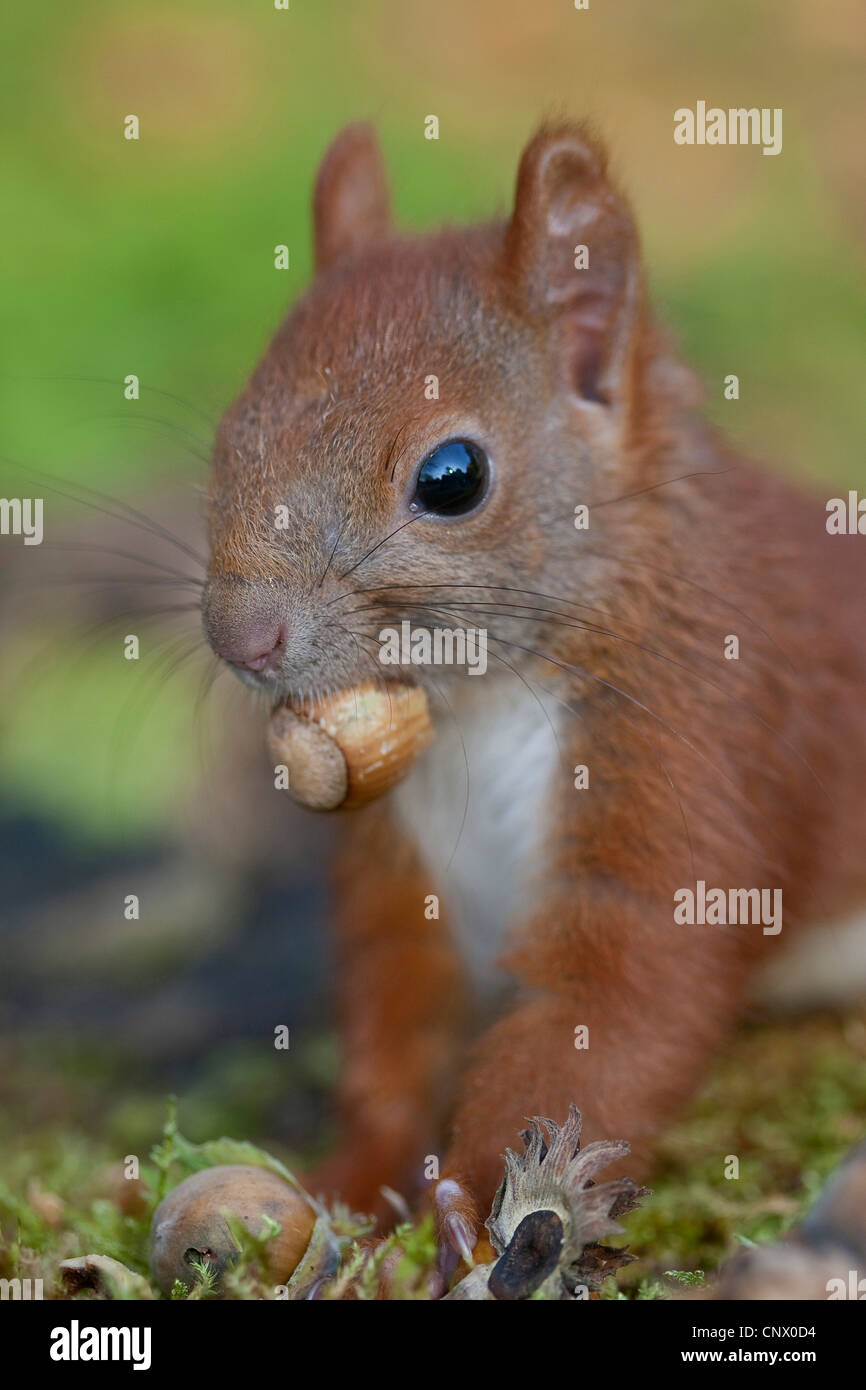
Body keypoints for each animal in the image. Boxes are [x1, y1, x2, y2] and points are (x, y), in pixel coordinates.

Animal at [201, 125, 866, 1245]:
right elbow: (396, 1027)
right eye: (227, 438)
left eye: (453, 477)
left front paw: (469, 1218)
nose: (240, 636)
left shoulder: (694, 749)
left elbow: (606, 1012)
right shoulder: (402, 876)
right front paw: (348, 1186)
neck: (482, 704)